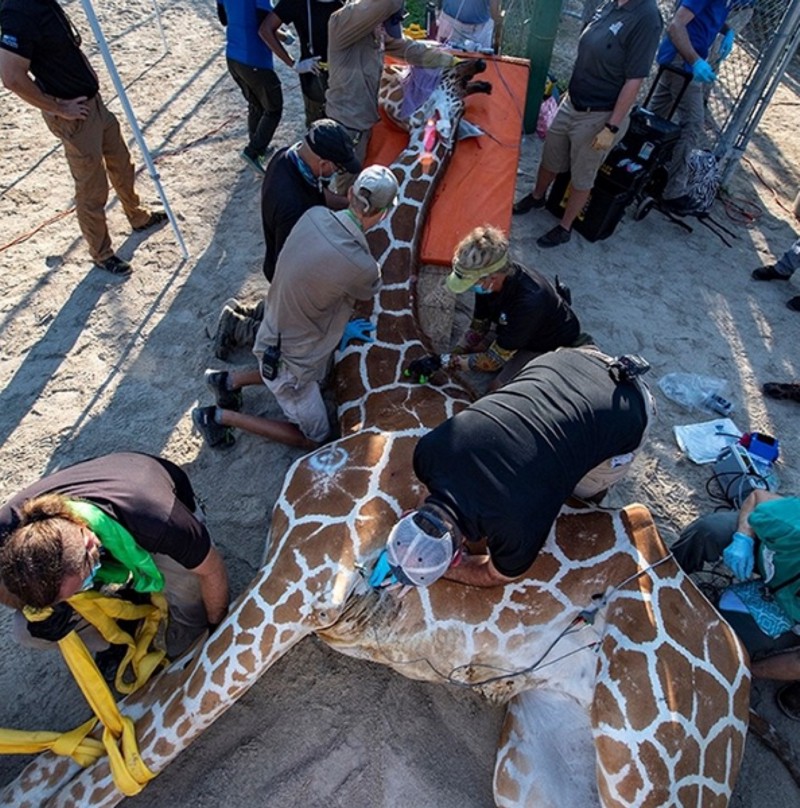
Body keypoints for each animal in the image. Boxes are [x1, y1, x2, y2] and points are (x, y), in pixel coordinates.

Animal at [1, 58, 751, 807]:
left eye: (413, 79)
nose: (450, 70)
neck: (381, 383)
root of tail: (739, 672)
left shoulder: (301, 573)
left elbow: (126, 755)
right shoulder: (284, 570)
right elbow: (110, 725)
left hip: (649, 760)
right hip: (540, 750)